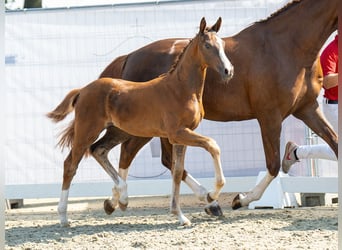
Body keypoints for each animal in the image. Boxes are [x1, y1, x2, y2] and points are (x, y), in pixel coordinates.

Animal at [48, 16, 234, 226]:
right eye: (208, 46)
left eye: (223, 44)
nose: (228, 71)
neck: (181, 89)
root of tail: (82, 90)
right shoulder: (177, 133)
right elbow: (212, 146)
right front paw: (212, 194)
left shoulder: (181, 137)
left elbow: (177, 172)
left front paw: (180, 215)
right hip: (87, 131)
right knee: (70, 164)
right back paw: (65, 216)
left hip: (119, 131)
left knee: (99, 150)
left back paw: (121, 196)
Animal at [92, 0, 338, 213]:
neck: (285, 47)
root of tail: (130, 56)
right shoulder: (270, 116)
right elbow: (273, 165)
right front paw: (242, 199)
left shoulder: (308, 109)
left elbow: (334, 144)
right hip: (146, 126)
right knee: (128, 153)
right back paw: (121, 199)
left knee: (163, 159)